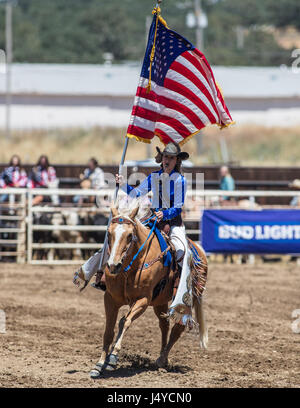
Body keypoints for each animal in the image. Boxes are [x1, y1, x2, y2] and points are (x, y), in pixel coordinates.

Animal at [78, 204, 207, 380]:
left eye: (129, 235)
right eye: (109, 233)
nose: (113, 265)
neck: (130, 267)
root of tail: (200, 251)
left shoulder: (143, 300)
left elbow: (125, 322)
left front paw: (113, 358)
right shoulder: (110, 299)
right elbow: (109, 331)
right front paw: (99, 364)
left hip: (186, 301)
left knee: (177, 328)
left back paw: (162, 359)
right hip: (160, 302)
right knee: (164, 325)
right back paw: (162, 359)